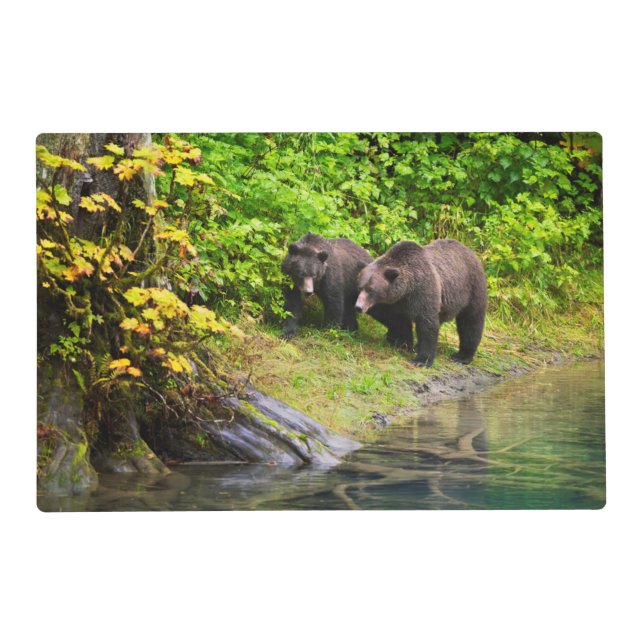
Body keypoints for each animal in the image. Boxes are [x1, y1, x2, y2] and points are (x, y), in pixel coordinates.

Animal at [354, 239, 487, 367]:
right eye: (360, 287)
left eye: (371, 289)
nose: (359, 307)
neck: (406, 289)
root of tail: (469, 250)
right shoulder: (394, 303)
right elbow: (395, 320)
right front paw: (402, 342)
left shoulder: (422, 291)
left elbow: (426, 324)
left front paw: (422, 360)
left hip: (472, 288)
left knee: (471, 321)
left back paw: (462, 356)